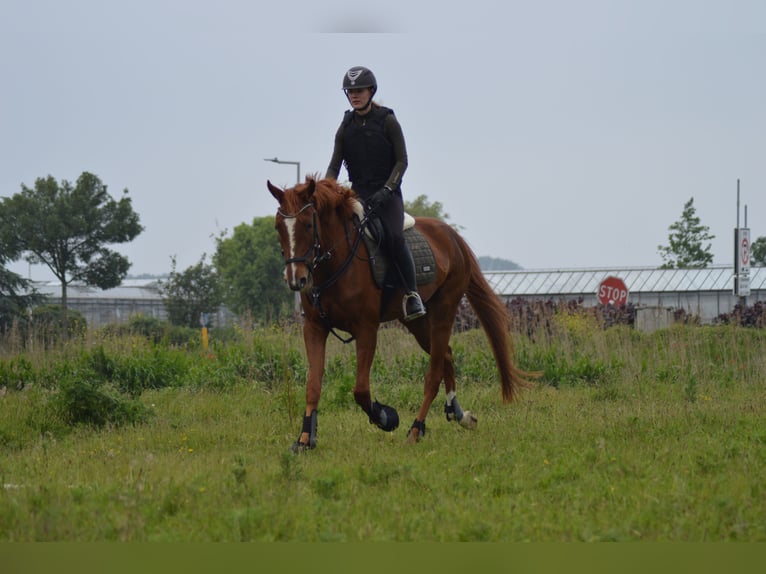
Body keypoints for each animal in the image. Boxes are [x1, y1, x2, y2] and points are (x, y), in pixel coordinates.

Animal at [270, 178, 540, 452]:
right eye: (278, 226)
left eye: (308, 224)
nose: (296, 279)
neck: (336, 264)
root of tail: (451, 236)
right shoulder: (315, 328)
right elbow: (313, 386)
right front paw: (304, 439)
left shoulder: (366, 329)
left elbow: (361, 390)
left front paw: (385, 417)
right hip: (417, 322)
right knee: (446, 356)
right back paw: (459, 414)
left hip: (444, 310)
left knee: (433, 374)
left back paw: (416, 429)